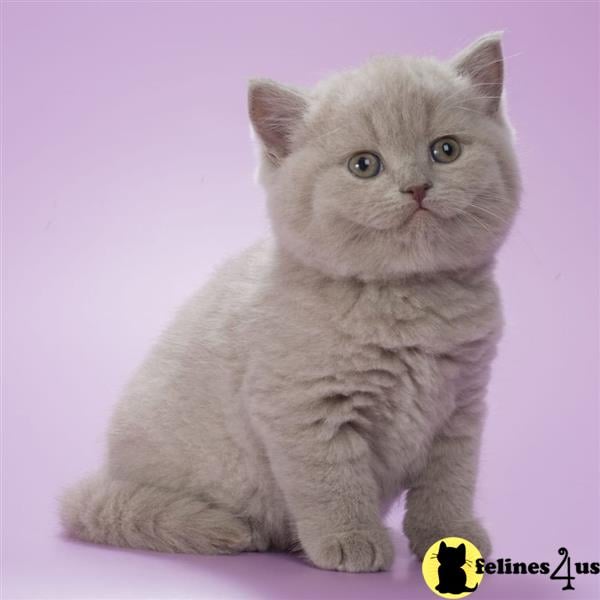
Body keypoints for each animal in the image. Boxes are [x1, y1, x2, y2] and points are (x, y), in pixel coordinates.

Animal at [61, 31, 520, 572]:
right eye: (364, 165)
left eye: (445, 150)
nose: (417, 187)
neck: (409, 299)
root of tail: (110, 477)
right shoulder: (303, 408)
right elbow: (331, 482)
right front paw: (351, 539)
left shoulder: (461, 407)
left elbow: (448, 483)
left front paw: (452, 537)